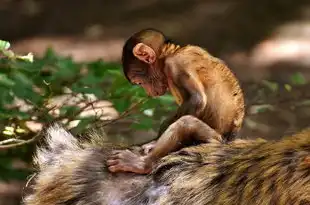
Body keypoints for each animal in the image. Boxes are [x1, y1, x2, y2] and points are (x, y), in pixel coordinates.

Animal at [106, 28, 245, 174]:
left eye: (139, 82)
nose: (149, 92)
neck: (171, 53)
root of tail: (230, 140)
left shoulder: (175, 64)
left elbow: (197, 99)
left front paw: (154, 143)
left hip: (214, 141)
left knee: (185, 123)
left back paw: (143, 164)